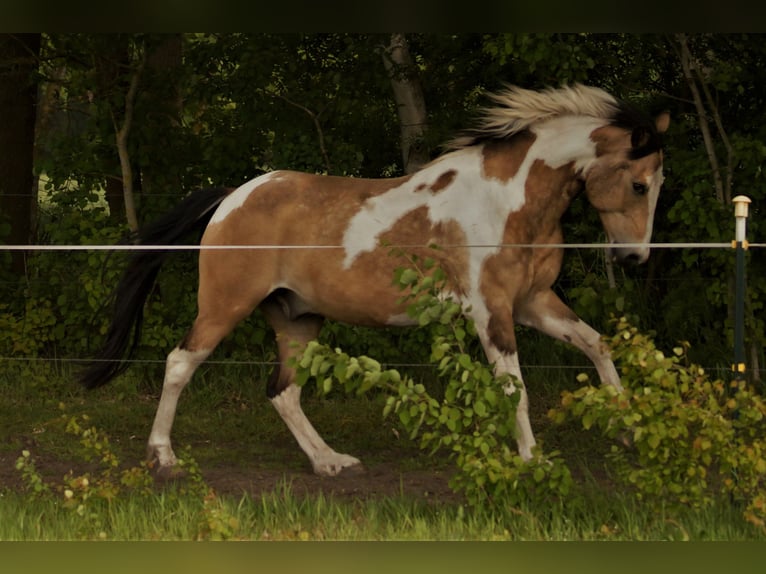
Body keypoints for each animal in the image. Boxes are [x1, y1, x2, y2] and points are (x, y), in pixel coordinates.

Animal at [81, 83, 672, 480]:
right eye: (640, 185)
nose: (634, 257)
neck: (509, 201)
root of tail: (231, 198)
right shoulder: (492, 311)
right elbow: (515, 389)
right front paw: (532, 460)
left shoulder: (533, 302)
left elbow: (597, 345)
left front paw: (627, 428)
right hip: (226, 304)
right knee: (180, 364)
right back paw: (164, 457)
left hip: (298, 318)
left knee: (283, 391)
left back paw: (330, 462)